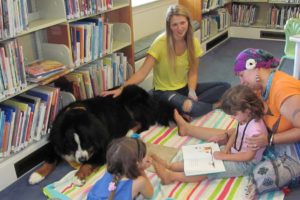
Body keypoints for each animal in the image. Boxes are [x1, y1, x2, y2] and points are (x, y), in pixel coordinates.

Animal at [28, 84, 173, 186]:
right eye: (72, 145)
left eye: (86, 143)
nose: (81, 159)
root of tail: (151, 98)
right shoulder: (57, 141)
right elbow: (50, 158)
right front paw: (37, 174)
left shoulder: (103, 149)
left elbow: (89, 163)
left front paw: (78, 176)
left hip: (131, 100)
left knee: (143, 123)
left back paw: (129, 133)